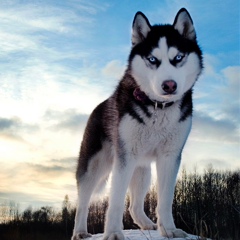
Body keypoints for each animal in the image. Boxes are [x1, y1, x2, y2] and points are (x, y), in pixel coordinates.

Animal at [71, 7, 202, 240]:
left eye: (178, 57)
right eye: (152, 59)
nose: (169, 85)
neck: (158, 107)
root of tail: (98, 106)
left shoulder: (170, 156)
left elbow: (165, 199)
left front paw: (169, 229)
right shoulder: (125, 157)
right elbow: (115, 200)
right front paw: (113, 233)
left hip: (142, 170)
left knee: (133, 206)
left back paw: (147, 224)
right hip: (94, 166)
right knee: (83, 201)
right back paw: (79, 231)